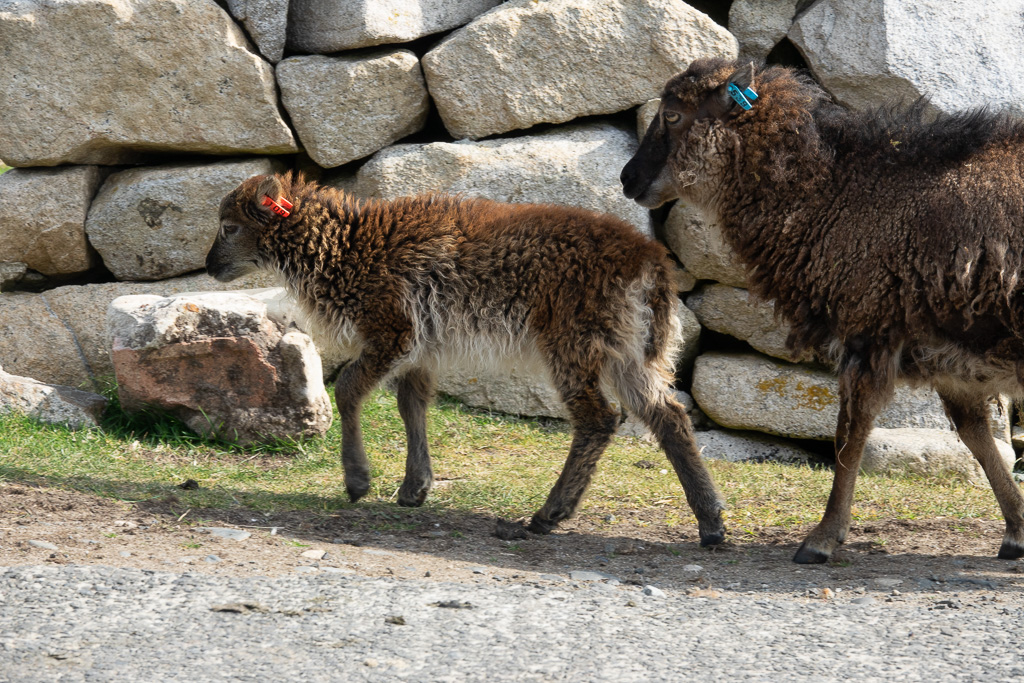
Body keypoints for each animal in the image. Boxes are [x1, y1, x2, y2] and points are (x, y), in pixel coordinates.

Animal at [203, 175, 724, 544]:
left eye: (230, 227)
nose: (208, 266)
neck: (349, 246)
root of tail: (651, 263)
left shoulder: (392, 327)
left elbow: (348, 387)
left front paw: (357, 480)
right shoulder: (419, 347)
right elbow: (412, 404)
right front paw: (415, 488)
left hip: (573, 341)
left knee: (598, 418)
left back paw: (547, 516)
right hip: (628, 350)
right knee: (669, 416)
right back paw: (710, 522)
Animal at [618, 57, 1024, 561]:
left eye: (673, 115)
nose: (627, 178)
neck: (834, 192)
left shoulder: (869, 327)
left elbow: (849, 436)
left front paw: (822, 538)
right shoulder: (945, 352)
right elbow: (977, 437)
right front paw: (1017, 530)